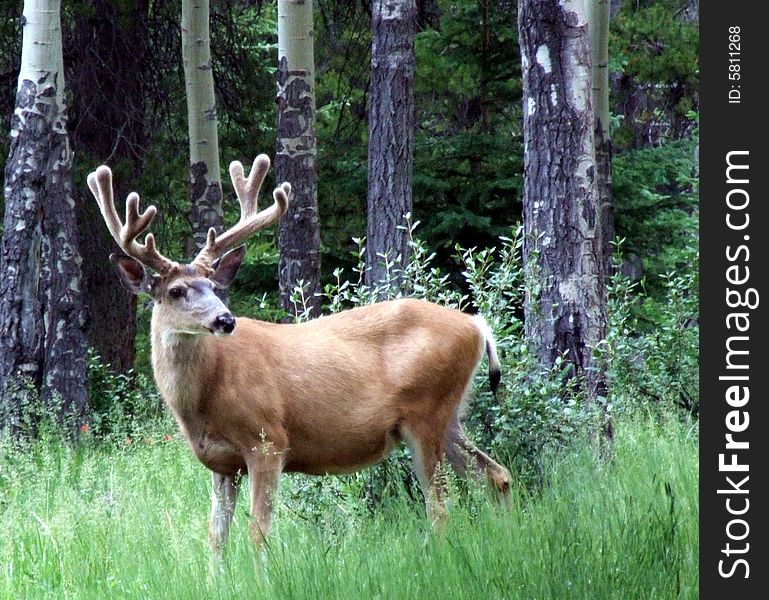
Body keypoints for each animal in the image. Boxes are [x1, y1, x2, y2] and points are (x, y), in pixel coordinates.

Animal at [87, 155, 510, 552]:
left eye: (213, 285)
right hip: (449, 415)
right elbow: (215, 538)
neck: (204, 398)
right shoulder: (221, 464)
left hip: (426, 411)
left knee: (440, 506)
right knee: (495, 475)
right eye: (176, 291)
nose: (226, 319)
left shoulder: (268, 440)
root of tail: (476, 325)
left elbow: (257, 532)